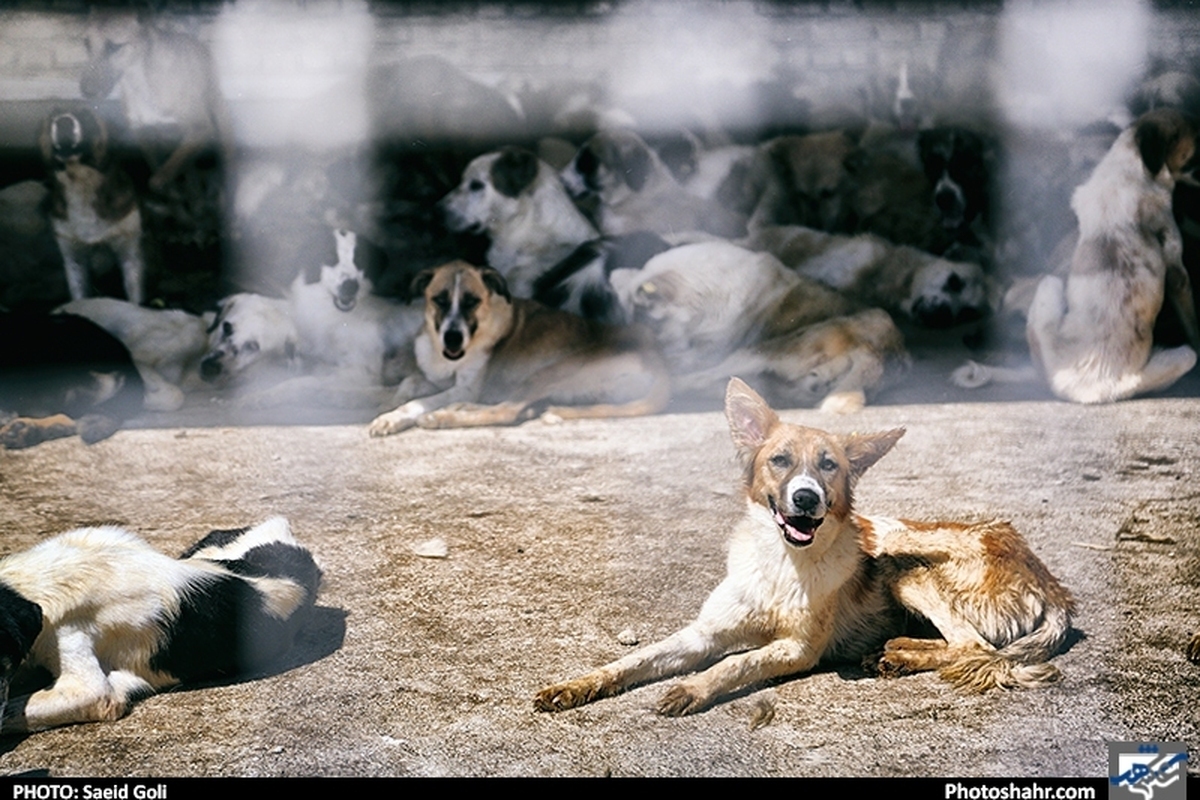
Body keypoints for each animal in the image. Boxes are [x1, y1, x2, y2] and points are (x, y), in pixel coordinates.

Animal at [42, 107, 145, 307]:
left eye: (86, 116)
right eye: (53, 118)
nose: (63, 122)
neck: (80, 182)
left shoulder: (129, 251)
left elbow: (134, 297)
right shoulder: (73, 257)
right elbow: (79, 294)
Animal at [364, 262, 672, 438]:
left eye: (472, 301)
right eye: (439, 300)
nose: (452, 339)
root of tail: (660, 363)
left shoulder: (466, 387)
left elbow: (417, 402)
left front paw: (393, 417)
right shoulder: (434, 379)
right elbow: (405, 385)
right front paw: (385, 402)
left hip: (550, 372)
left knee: (507, 411)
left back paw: (443, 417)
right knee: (513, 406)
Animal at [537, 379, 1080, 714]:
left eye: (829, 465)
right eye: (779, 460)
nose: (805, 498)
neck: (781, 564)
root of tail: (1054, 586)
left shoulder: (798, 648)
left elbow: (736, 663)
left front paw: (691, 688)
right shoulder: (701, 635)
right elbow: (634, 660)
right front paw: (575, 685)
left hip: (907, 566)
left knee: (976, 647)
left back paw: (900, 654)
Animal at [955, 109, 1200, 402]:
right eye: (1194, 148)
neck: (1129, 166)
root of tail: (1067, 385)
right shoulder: (1178, 273)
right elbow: (1193, 323)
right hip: (1179, 355)